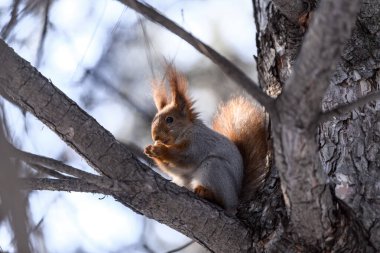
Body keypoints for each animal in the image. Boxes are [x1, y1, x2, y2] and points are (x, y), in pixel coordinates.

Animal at [144, 67, 268, 211]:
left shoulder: (199, 142)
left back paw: (207, 193)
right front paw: (150, 150)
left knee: (222, 200)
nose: (155, 136)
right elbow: (175, 169)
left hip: (214, 168)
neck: (185, 131)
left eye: (170, 119)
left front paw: (160, 150)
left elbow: (186, 157)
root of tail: (235, 200)